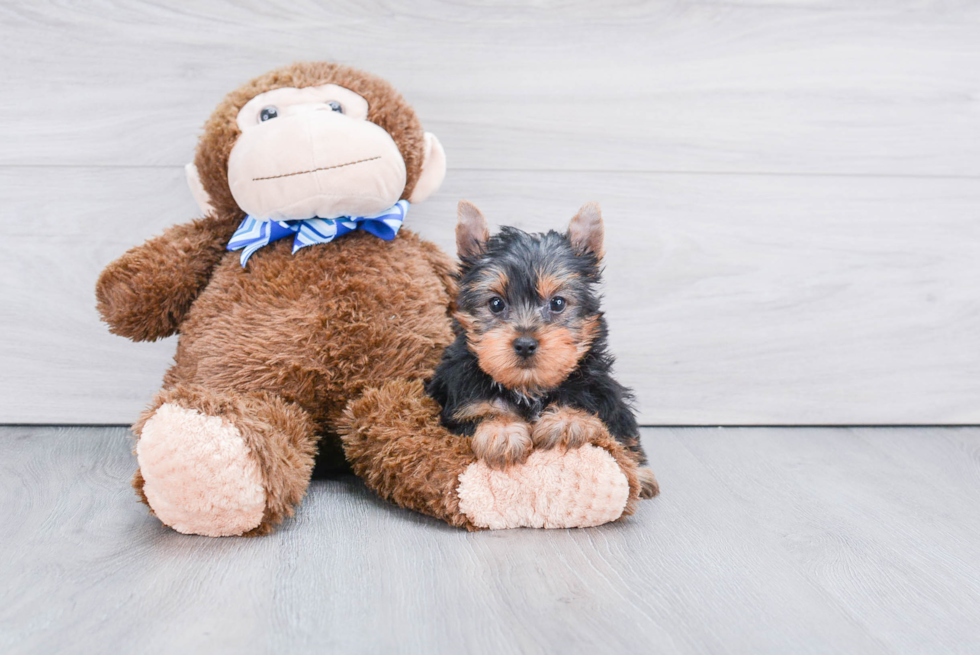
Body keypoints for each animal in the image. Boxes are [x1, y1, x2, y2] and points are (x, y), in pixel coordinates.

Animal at [426, 200, 660, 498]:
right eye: (496, 304)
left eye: (558, 303)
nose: (525, 344)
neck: (530, 389)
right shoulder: (459, 399)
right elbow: (484, 409)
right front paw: (502, 431)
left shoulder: (604, 392)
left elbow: (602, 414)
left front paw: (567, 421)